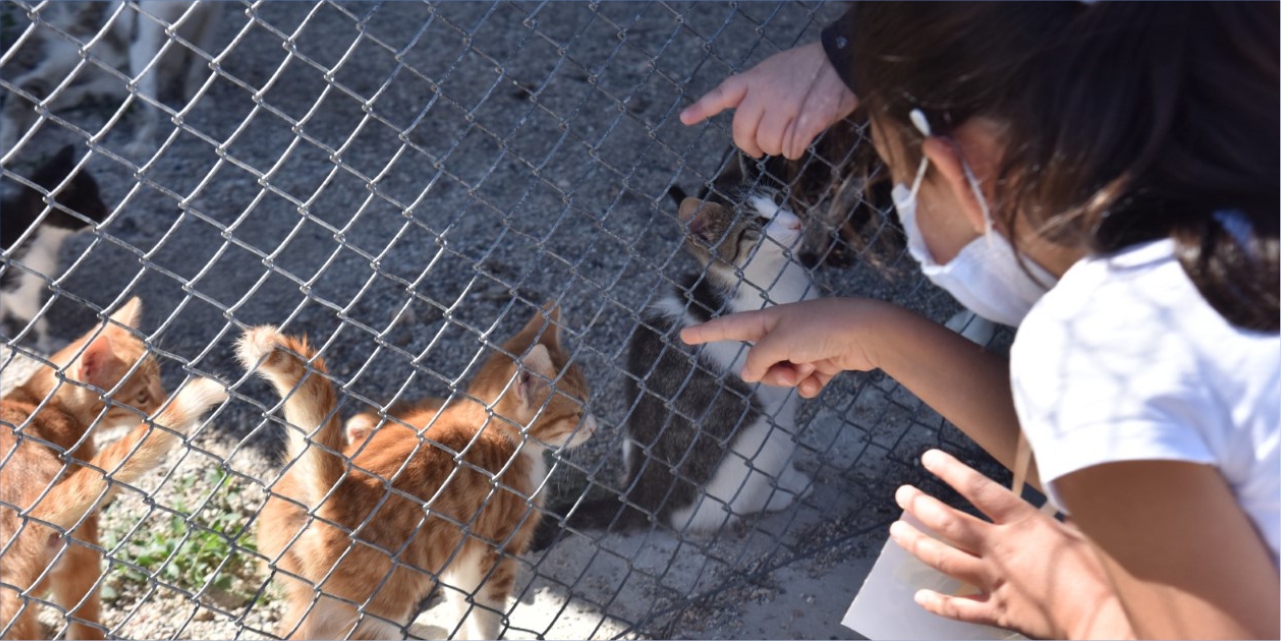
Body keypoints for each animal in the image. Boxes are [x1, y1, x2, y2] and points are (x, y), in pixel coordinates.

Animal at [0, 144, 108, 348]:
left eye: (99, 193)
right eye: (91, 205)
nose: (107, 211)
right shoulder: (16, 287)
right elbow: (35, 317)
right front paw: (46, 343)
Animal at [238, 305, 596, 641]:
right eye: (578, 412)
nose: (594, 426)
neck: (494, 428)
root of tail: (333, 491)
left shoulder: (461, 556)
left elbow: (460, 607)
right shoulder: (497, 551)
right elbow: (486, 615)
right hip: (378, 607)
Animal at [535, 156, 814, 546]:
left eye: (778, 198)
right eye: (758, 224)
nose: (797, 222)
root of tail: (643, 495)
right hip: (764, 430)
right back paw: (784, 492)